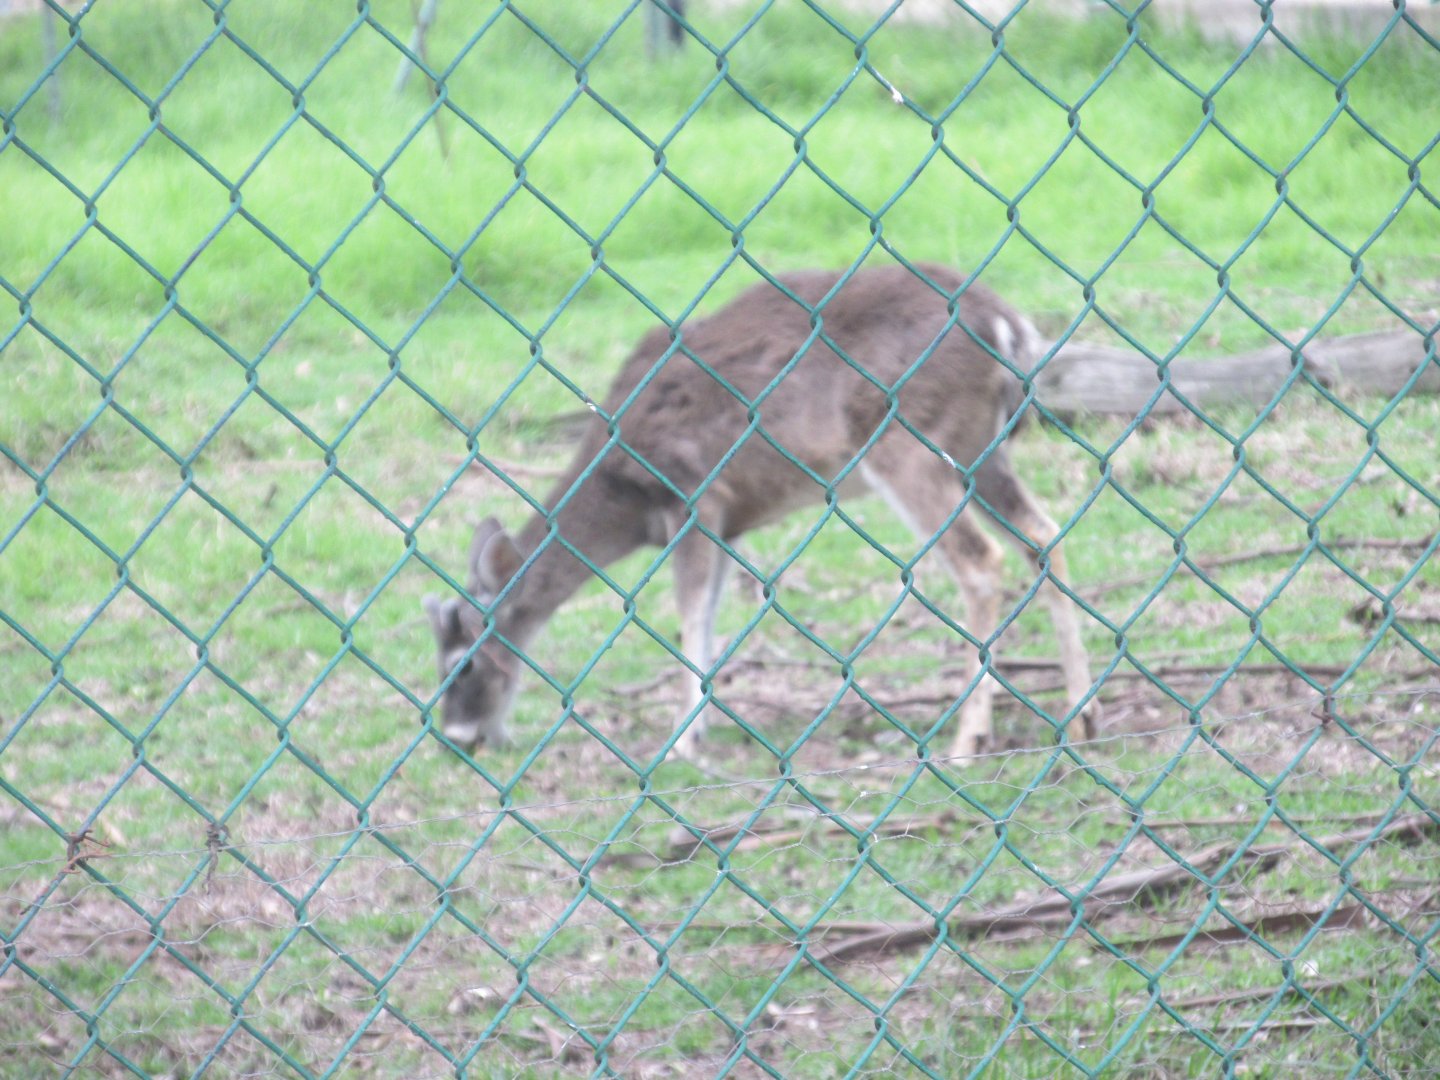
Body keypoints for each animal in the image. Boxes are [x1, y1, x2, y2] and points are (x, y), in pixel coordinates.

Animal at [424, 262, 1099, 761]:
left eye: (462, 666)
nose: (458, 738)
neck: (620, 495)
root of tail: (1009, 325)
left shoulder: (693, 494)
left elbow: (690, 617)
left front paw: (681, 742)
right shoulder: (727, 521)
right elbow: (709, 620)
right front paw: (698, 726)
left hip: (911, 442)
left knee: (981, 561)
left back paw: (968, 738)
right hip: (981, 447)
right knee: (1043, 534)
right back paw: (1081, 714)